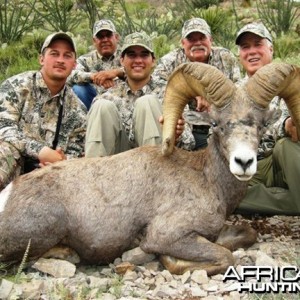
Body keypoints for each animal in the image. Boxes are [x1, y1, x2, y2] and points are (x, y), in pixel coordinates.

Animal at [0, 63, 298, 276]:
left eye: (261, 125)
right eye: (217, 124)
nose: (244, 162)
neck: (206, 179)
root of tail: (7, 195)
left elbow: (246, 235)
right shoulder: (168, 235)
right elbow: (223, 257)